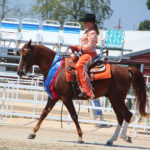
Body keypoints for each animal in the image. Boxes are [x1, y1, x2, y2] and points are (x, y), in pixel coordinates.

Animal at [16, 39, 150, 145]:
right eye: (20, 53)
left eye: (26, 54)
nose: (19, 72)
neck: (56, 69)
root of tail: (126, 69)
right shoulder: (54, 97)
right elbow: (44, 113)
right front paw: (32, 133)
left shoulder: (66, 98)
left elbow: (74, 116)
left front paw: (80, 137)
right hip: (114, 99)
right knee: (120, 117)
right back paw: (111, 140)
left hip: (117, 98)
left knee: (127, 114)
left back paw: (124, 137)